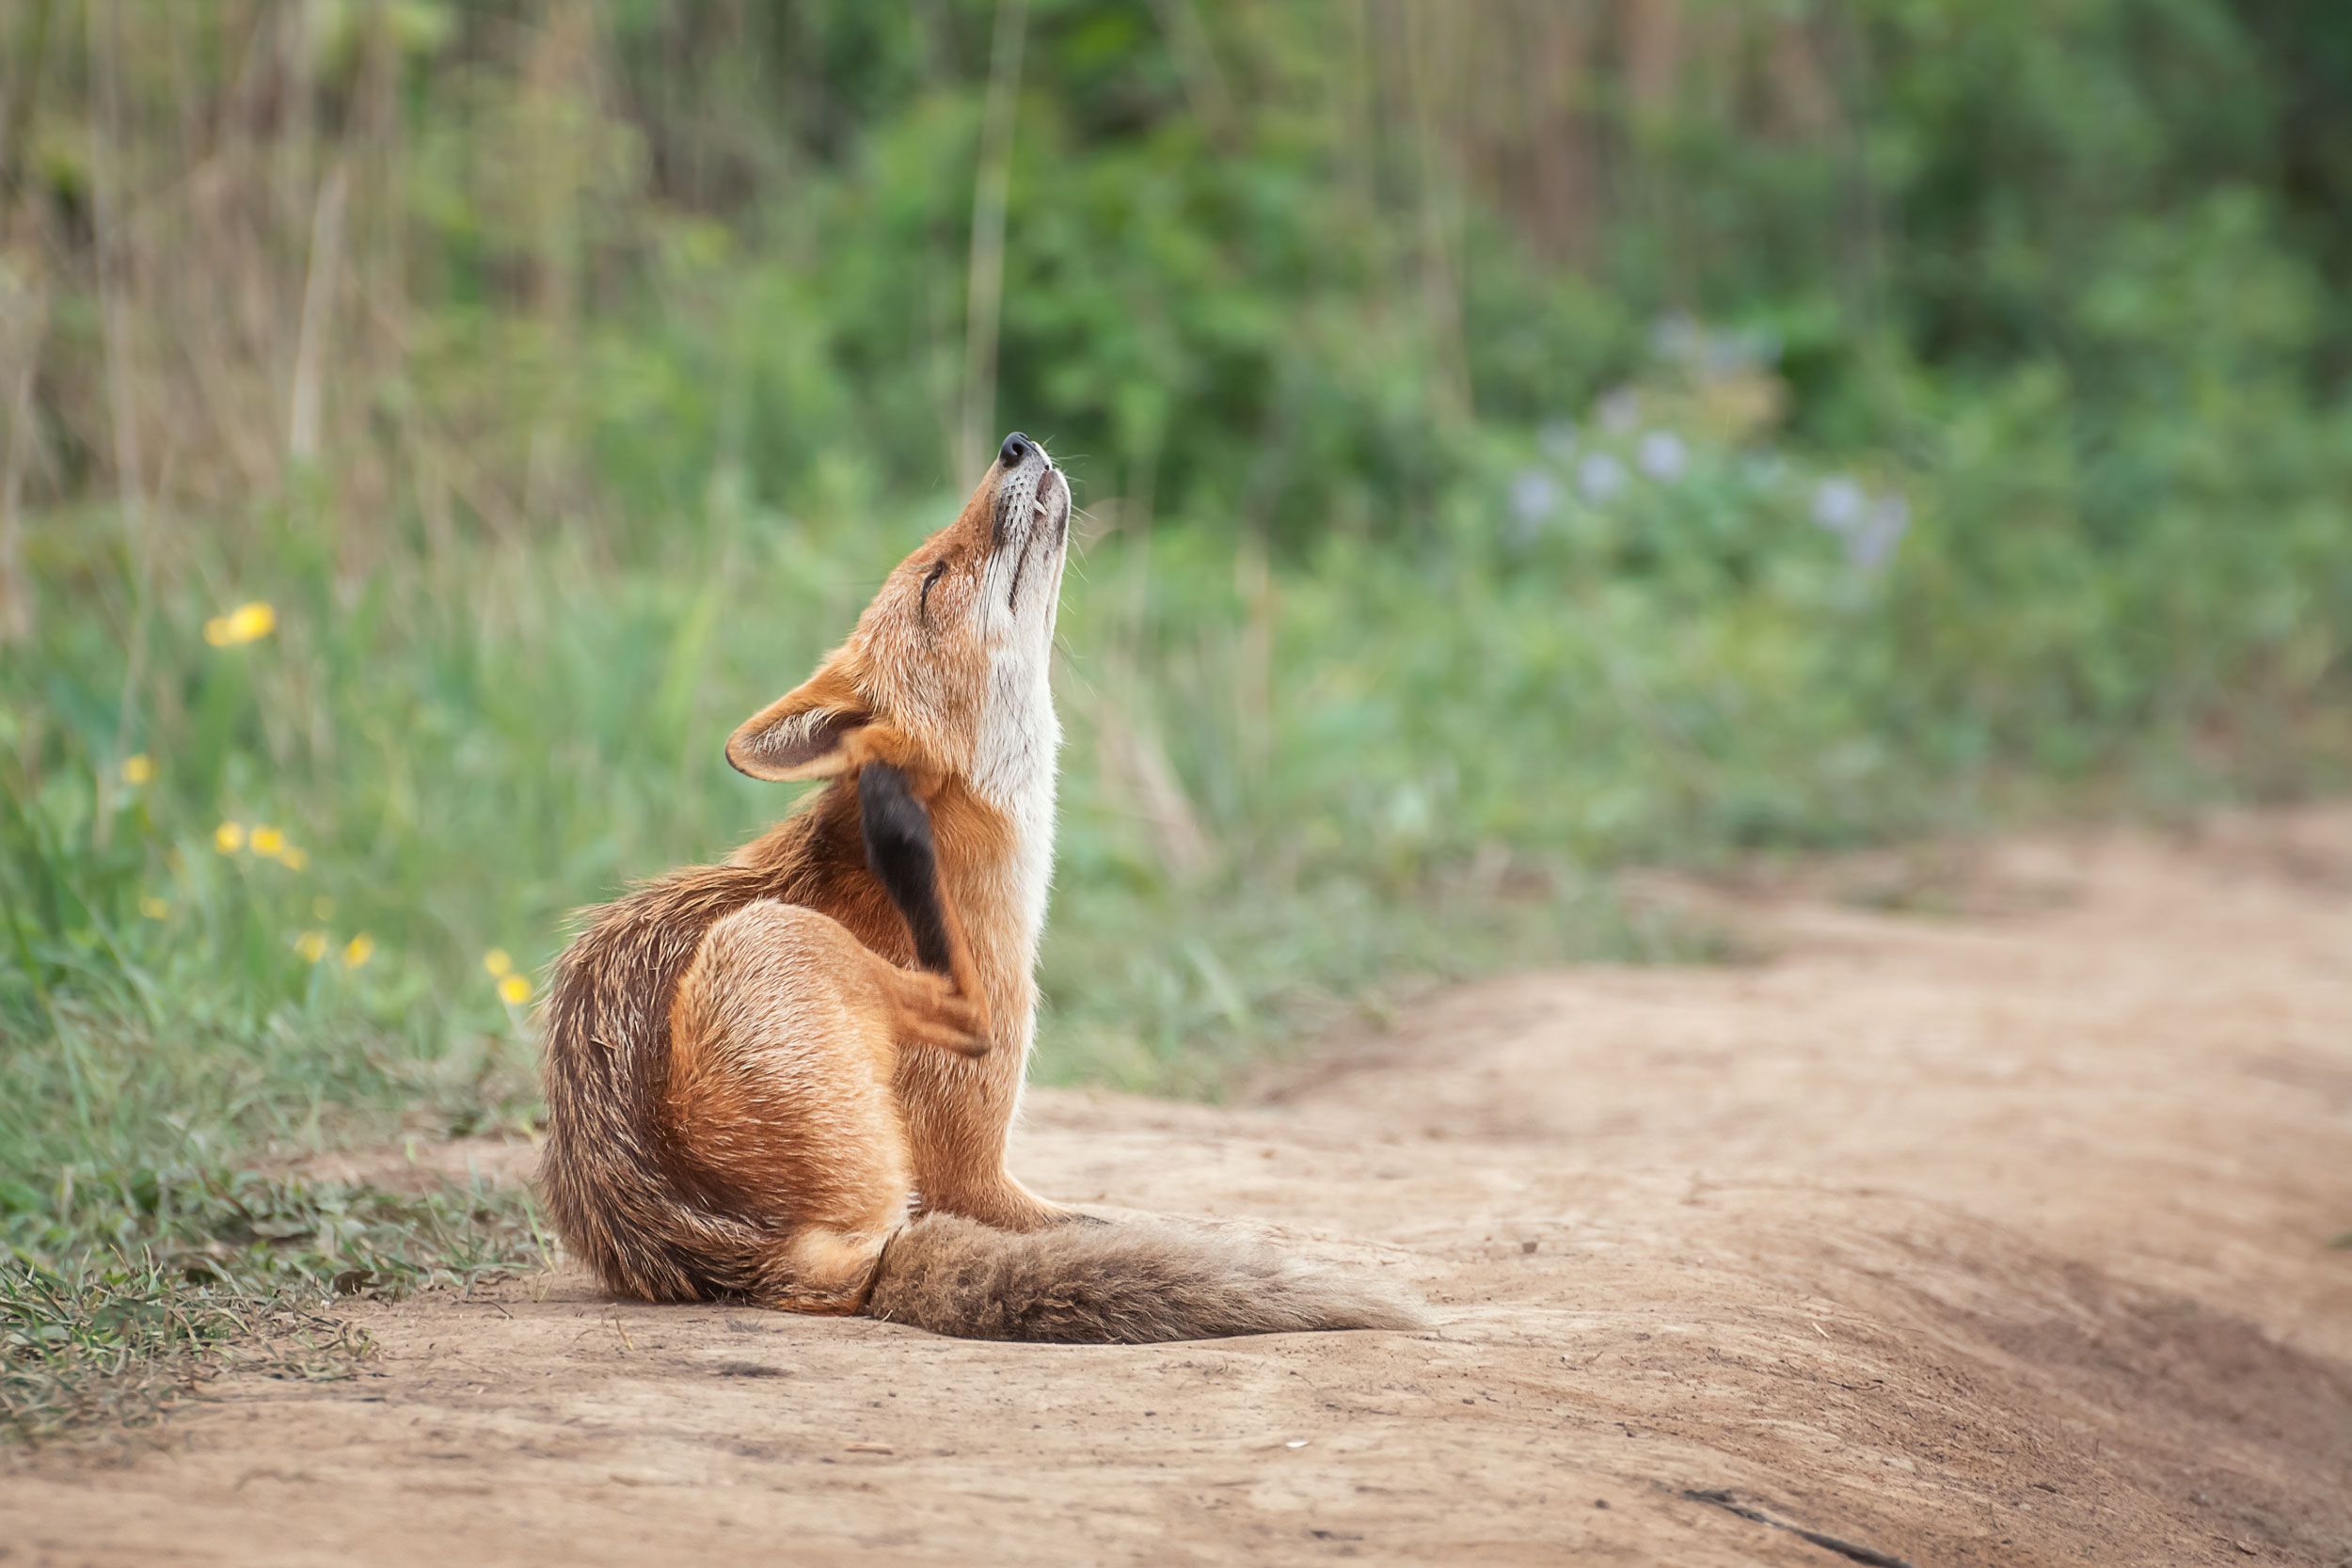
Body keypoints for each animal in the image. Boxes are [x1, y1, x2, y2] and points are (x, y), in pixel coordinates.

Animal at [533, 435, 1411, 1344]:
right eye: (933, 580)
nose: (1015, 444)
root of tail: (745, 1265)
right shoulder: (971, 1171)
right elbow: (1090, 1216)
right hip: (770, 940)